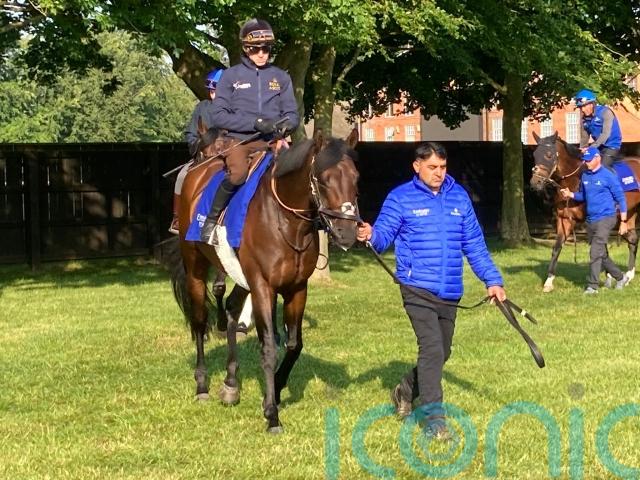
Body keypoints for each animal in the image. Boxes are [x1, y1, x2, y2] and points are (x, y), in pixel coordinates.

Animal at [167, 120, 360, 433]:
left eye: (356, 177)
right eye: (323, 179)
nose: (347, 233)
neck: (285, 221)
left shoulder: (297, 289)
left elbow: (294, 345)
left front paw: (277, 389)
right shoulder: (262, 286)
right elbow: (268, 347)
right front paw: (271, 414)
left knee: (232, 309)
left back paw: (231, 383)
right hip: (196, 270)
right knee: (198, 322)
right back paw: (202, 385)